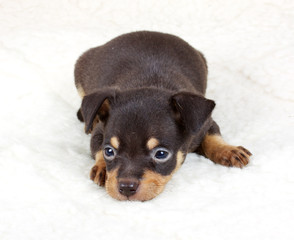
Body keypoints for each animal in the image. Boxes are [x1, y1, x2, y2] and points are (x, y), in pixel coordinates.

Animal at [74, 31, 252, 202]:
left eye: (161, 154)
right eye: (109, 151)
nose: (126, 187)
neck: (151, 83)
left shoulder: (205, 123)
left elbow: (214, 137)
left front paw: (227, 150)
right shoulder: (99, 132)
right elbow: (96, 148)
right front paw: (103, 167)